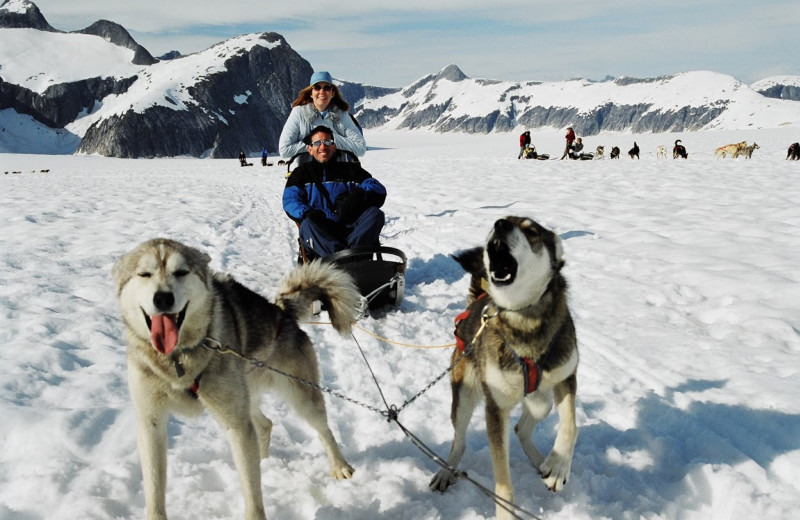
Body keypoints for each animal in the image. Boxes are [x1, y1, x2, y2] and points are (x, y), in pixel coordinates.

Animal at [111, 240, 360, 520]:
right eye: (144, 274)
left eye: (181, 272)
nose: (163, 298)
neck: (178, 358)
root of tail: (281, 312)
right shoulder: (151, 423)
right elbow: (154, 489)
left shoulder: (237, 425)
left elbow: (251, 490)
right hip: (245, 398)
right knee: (264, 425)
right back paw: (264, 462)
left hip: (299, 397)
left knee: (324, 430)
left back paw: (340, 465)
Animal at [432, 216, 580, 520]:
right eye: (497, 223)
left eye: (531, 230)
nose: (500, 223)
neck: (525, 321)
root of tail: (477, 301)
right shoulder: (495, 408)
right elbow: (503, 481)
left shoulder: (567, 377)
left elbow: (571, 425)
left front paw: (558, 465)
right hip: (464, 396)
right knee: (458, 442)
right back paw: (446, 471)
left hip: (542, 401)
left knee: (522, 427)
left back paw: (541, 462)